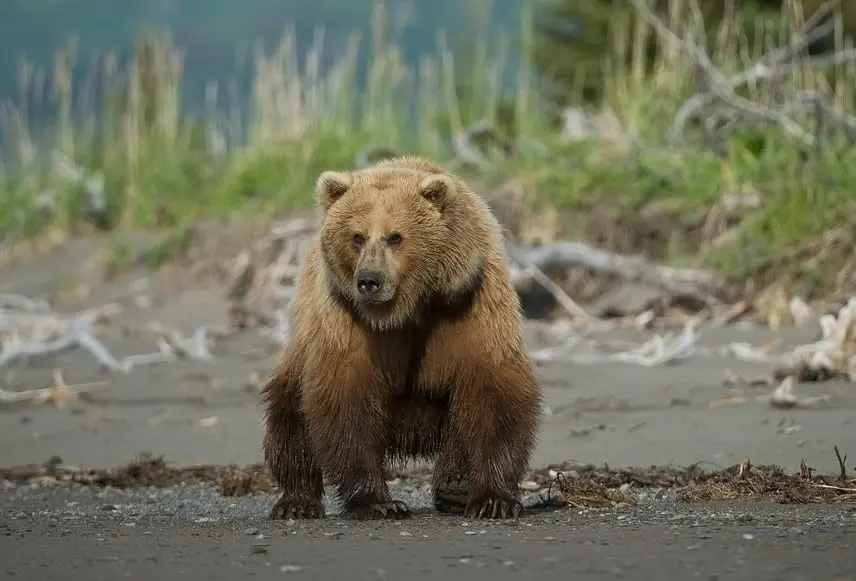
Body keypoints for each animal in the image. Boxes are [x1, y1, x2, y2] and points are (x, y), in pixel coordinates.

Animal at [261, 155, 542, 520]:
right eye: (357, 236)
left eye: (395, 237)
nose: (370, 280)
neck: (410, 308)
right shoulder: (350, 317)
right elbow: (348, 395)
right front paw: (379, 501)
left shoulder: (470, 302)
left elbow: (492, 386)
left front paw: (494, 499)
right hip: (306, 329)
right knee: (291, 409)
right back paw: (297, 501)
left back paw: (456, 487)